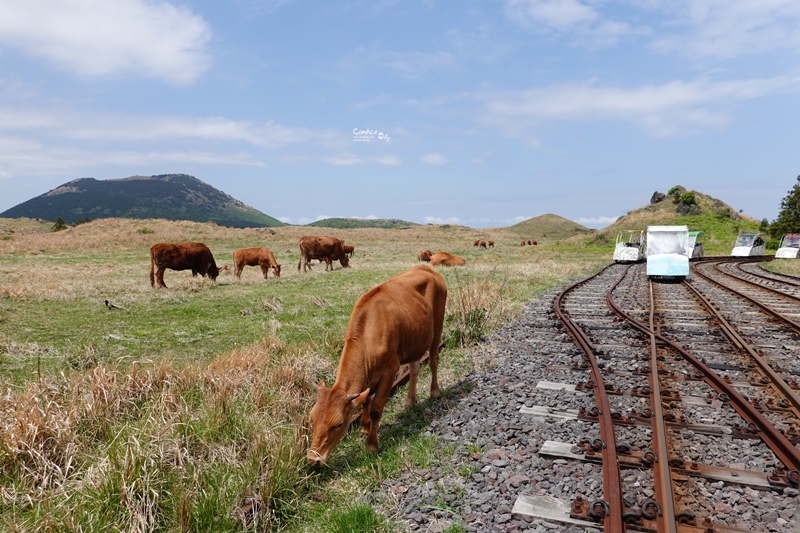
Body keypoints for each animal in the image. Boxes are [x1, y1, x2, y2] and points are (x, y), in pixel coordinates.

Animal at [306, 264, 446, 464]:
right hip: (415, 338)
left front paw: (371, 445)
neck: (368, 333)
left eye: (338, 424)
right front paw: (365, 427)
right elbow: (366, 399)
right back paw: (410, 401)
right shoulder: (369, 375)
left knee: (434, 359)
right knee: (414, 368)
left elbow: (376, 408)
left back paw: (434, 392)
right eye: (312, 419)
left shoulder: (390, 370)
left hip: (437, 326)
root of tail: (426, 267)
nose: (313, 458)